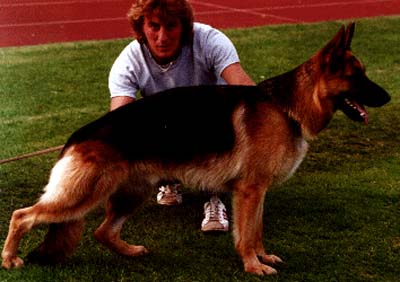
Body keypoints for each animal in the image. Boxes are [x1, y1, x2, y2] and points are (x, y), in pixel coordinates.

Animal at [1, 22, 390, 276]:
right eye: (357, 76)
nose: (388, 96)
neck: (287, 107)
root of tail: (75, 137)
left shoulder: (257, 192)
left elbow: (257, 231)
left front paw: (263, 258)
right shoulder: (250, 192)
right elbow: (247, 235)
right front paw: (253, 266)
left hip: (130, 194)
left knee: (102, 232)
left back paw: (130, 251)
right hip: (81, 196)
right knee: (22, 215)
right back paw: (9, 259)